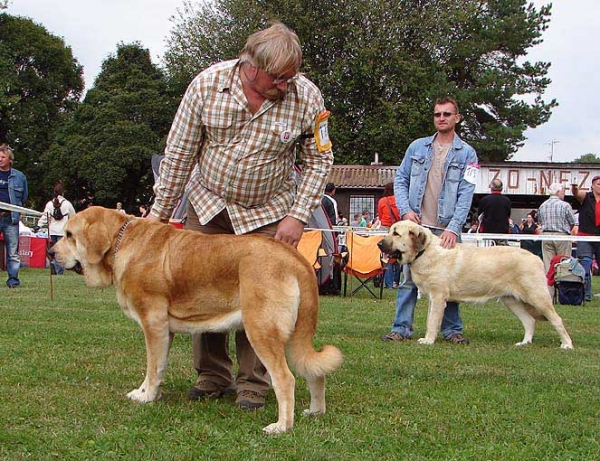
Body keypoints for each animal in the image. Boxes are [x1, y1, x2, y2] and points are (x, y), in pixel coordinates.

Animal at [50, 207, 342, 434]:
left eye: (69, 235)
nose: (52, 253)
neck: (120, 242)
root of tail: (296, 260)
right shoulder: (163, 330)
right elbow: (156, 368)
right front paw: (143, 393)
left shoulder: (153, 323)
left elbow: (153, 367)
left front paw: (147, 397)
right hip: (295, 334)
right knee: (315, 373)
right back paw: (315, 412)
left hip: (262, 330)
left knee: (285, 379)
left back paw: (281, 426)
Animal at [378, 221, 576, 346]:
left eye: (396, 233)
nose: (379, 244)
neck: (424, 251)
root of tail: (536, 258)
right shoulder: (433, 298)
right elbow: (430, 319)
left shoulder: (438, 296)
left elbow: (432, 321)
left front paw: (428, 341)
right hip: (511, 300)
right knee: (529, 321)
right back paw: (524, 343)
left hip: (537, 297)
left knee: (557, 320)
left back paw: (567, 344)